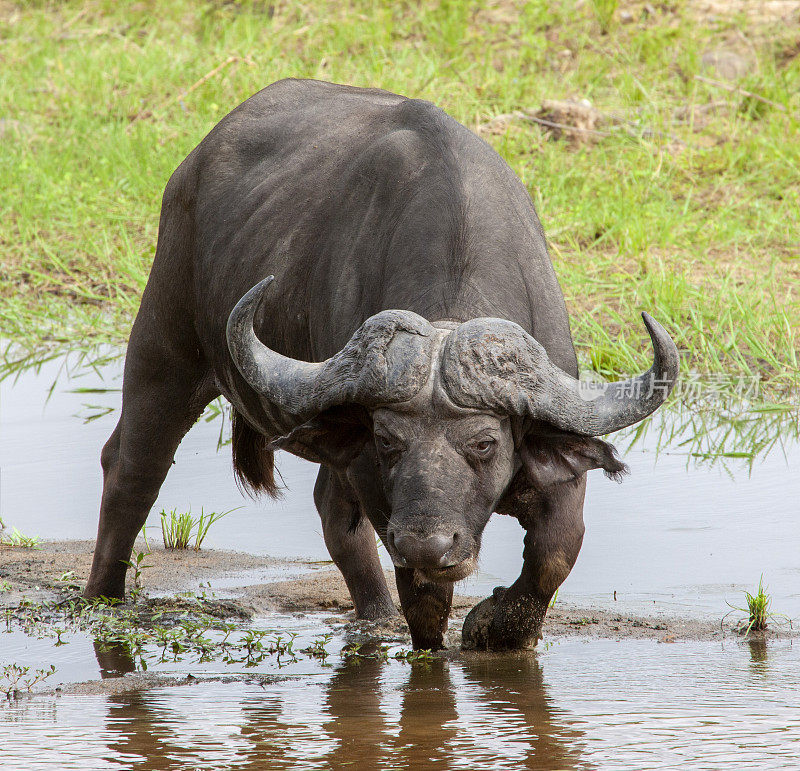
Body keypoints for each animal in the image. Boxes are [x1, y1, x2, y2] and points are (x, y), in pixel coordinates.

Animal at [84, 80, 680, 652]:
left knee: (329, 510)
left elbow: (555, 552)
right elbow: (424, 597)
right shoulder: (381, 490)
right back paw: (102, 600)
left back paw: (375, 616)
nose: (428, 542)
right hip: (164, 349)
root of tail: (192, 167)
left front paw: (497, 628)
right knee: (133, 468)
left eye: (485, 443)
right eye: (390, 440)